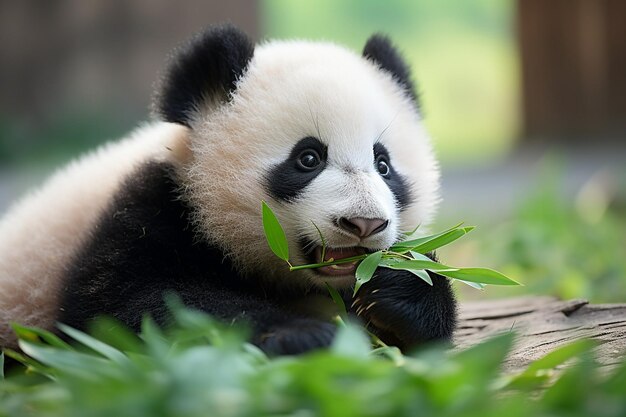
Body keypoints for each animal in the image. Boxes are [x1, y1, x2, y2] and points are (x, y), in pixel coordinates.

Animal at [0, 23, 454, 354]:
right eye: (308, 158)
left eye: (384, 165)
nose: (364, 223)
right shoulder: (153, 206)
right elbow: (130, 305)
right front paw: (300, 333)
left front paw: (397, 291)